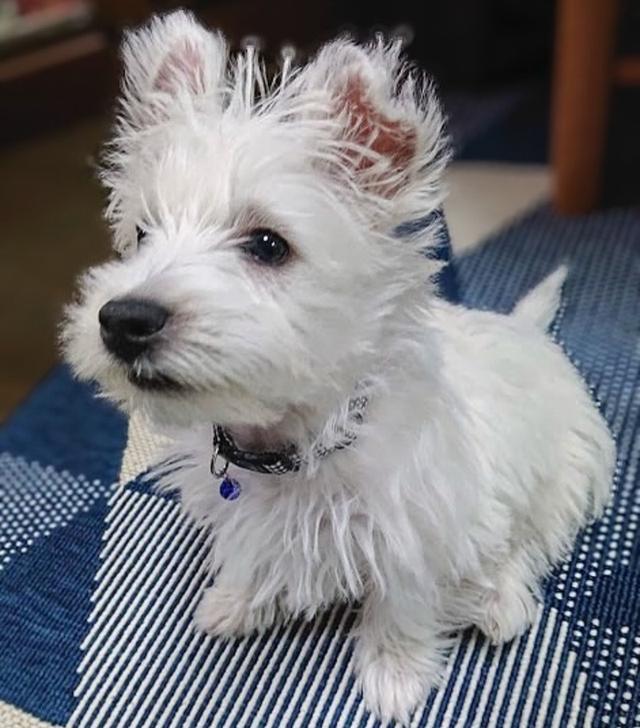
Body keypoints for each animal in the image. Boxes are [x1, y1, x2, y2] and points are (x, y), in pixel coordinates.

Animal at [61, 9, 616, 724]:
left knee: (528, 542)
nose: (123, 320)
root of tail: (527, 329)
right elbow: (248, 559)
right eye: (141, 234)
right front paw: (234, 603)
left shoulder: (414, 534)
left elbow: (400, 609)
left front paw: (394, 679)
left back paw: (498, 599)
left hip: (560, 480)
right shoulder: (248, 515)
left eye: (268, 245)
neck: (298, 444)